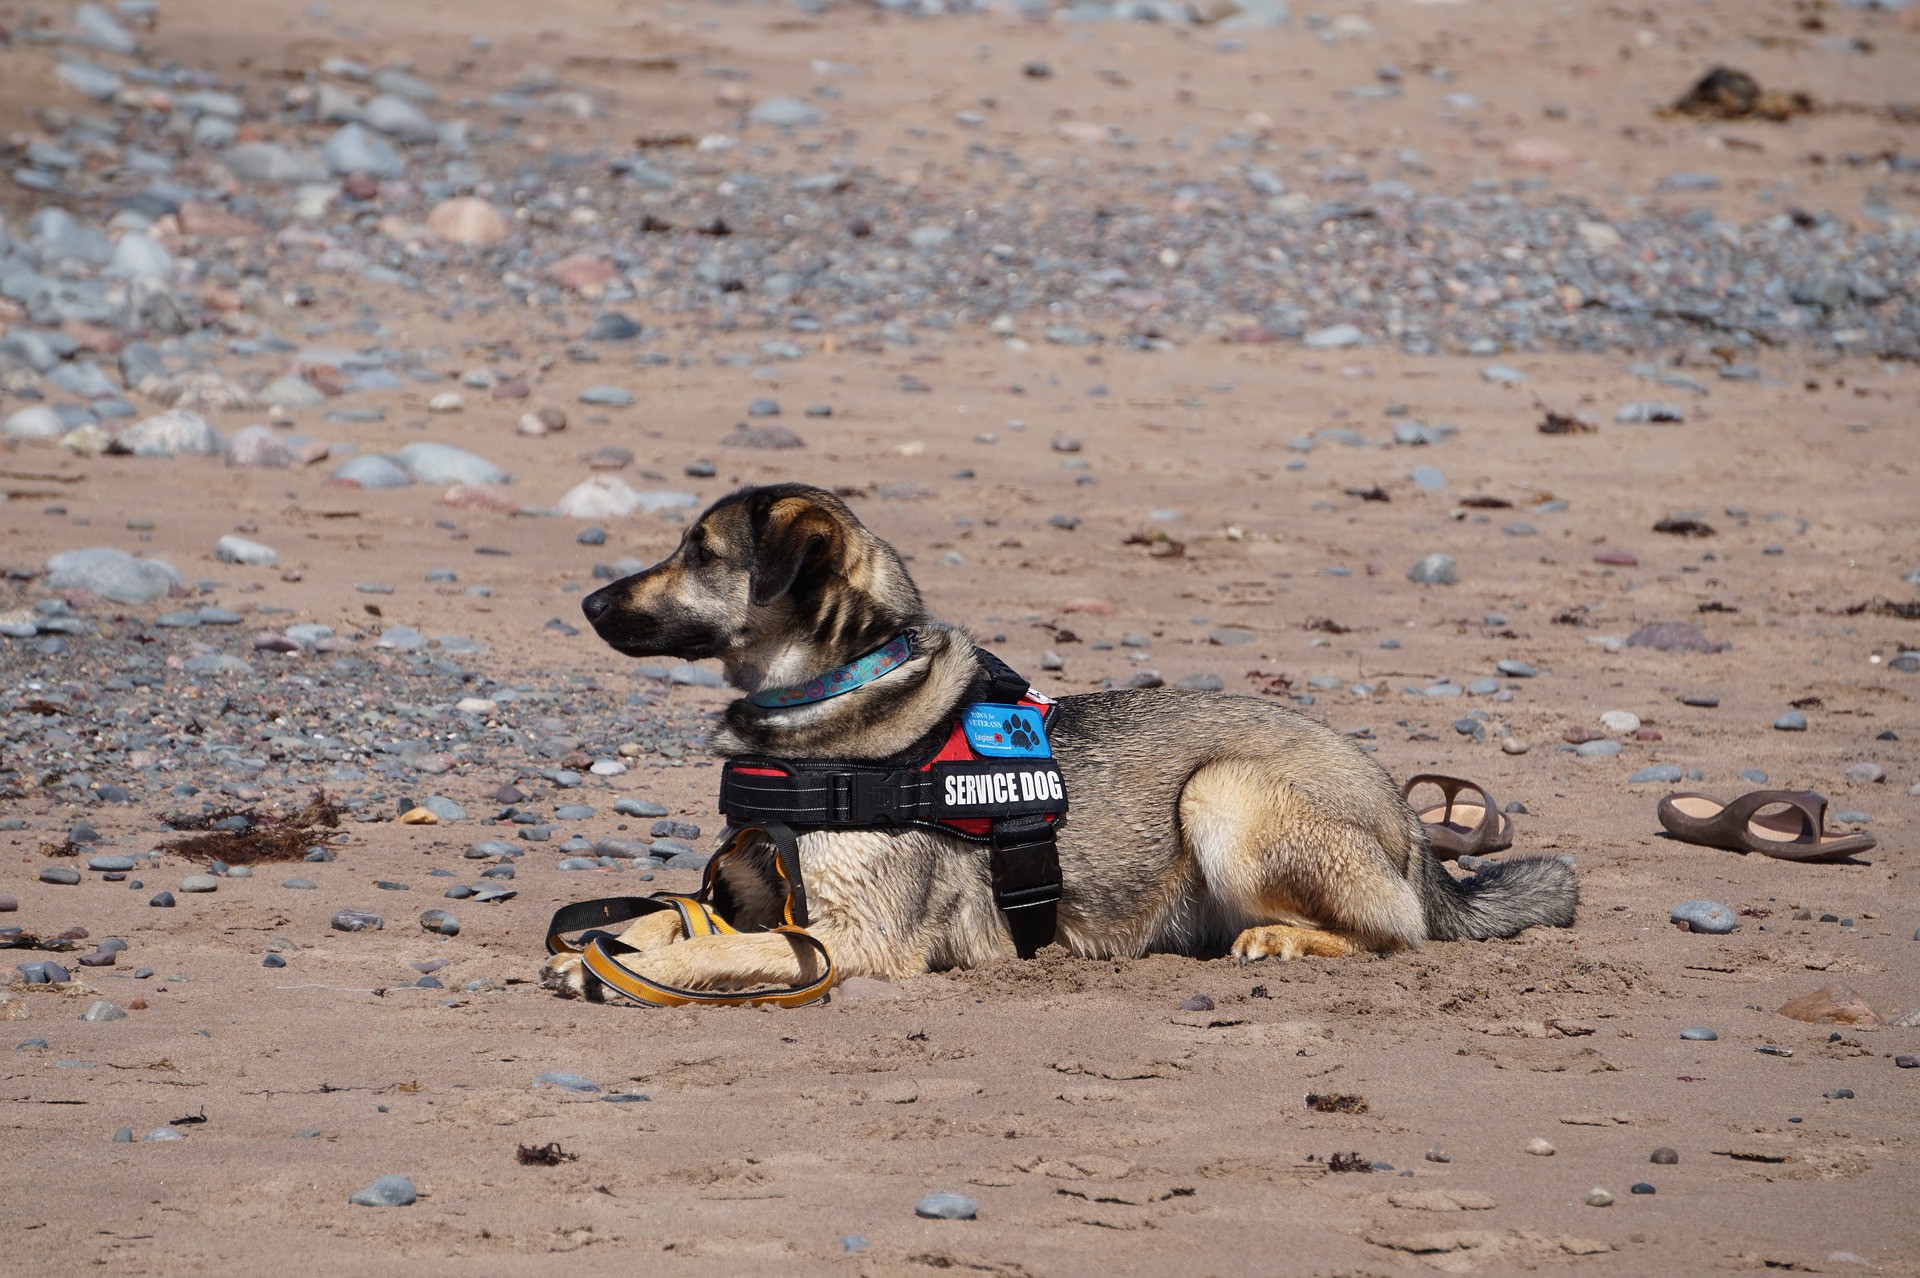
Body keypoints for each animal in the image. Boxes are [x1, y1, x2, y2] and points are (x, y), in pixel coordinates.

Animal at [541, 479, 1574, 997]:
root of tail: (1414, 830)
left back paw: (1283, 940)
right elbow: (675, 912)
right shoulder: (756, 894)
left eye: (701, 554)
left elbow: (718, 949)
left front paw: (633, 970)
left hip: (1224, 790)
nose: (585, 603)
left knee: (1395, 933)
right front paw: (610, 942)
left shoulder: (855, 938)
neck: (839, 698)